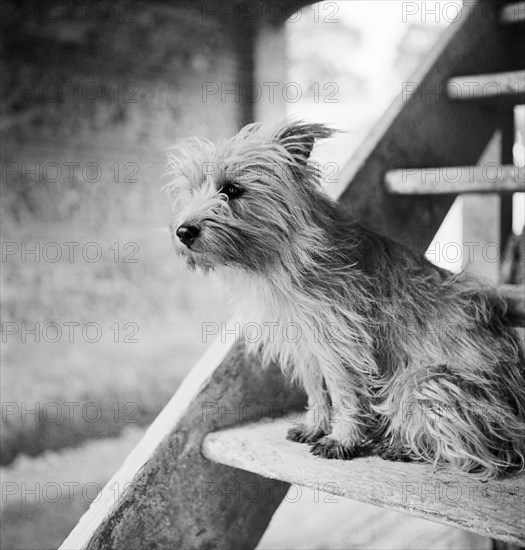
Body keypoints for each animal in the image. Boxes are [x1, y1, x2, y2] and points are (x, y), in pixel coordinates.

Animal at [168, 119, 524, 478]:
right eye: (191, 190)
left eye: (232, 189)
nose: (183, 231)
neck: (276, 260)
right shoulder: (304, 344)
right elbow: (316, 389)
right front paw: (315, 426)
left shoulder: (340, 342)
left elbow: (343, 394)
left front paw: (342, 439)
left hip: (423, 379)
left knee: (476, 451)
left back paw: (403, 446)